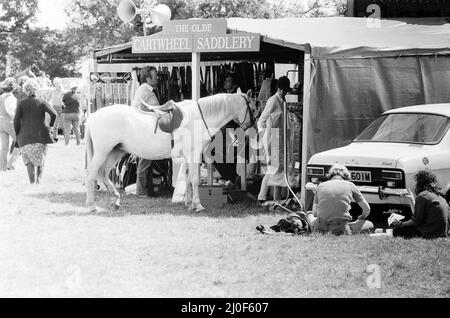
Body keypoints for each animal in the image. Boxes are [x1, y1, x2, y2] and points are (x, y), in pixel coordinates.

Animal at [82, 90, 255, 212]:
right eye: (253, 108)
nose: (251, 130)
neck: (199, 117)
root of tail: (93, 116)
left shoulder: (188, 157)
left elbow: (188, 180)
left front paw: (189, 204)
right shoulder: (193, 155)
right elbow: (195, 180)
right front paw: (198, 205)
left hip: (115, 152)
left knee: (103, 173)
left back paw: (116, 201)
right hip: (102, 152)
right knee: (91, 174)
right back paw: (91, 205)